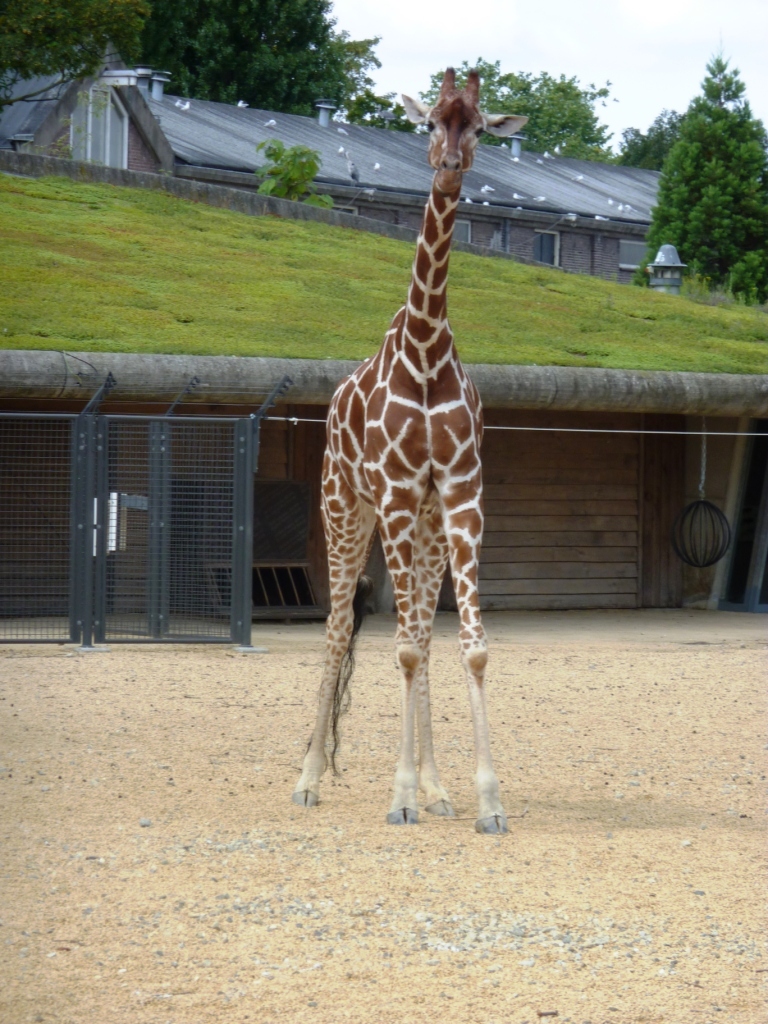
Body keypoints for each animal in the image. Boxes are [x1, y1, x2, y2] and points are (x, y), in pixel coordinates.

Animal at [292, 68, 527, 834]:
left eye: (479, 125)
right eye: (429, 122)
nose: (450, 165)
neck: (425, 350)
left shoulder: (457, 495)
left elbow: (466, 648)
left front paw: (483, 799)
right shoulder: (395, 493)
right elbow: (394, 647)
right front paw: (398, 797)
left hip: (422, 525)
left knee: (422, 634)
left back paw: (438, 789)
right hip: (346, 509)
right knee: (339, 629)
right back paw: (308, 778)